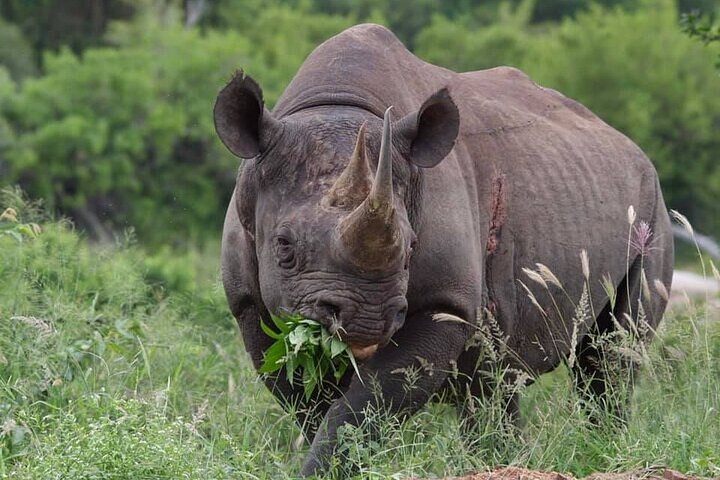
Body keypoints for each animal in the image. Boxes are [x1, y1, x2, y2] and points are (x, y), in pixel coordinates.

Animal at [215, 24, 673, 475]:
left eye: (411, 247)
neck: (336, 107)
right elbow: (309, 402)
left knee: (609, 359)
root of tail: (629, 144)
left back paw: (604, 450)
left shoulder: (445, 304)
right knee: (495, 382)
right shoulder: (250, 306)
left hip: (651, 207)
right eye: (284, 246)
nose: (368, 320)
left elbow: (364, 405)